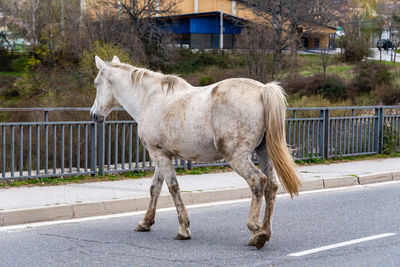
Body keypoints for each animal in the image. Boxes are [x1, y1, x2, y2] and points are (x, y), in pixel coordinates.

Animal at [90, 55, 300, 250]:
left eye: (96, 83)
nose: (94, 114)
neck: (149, 99)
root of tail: (262, 89)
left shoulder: (158, 155)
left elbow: (173, 188)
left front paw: (184, 228)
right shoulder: (162, 155)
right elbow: (155, 188)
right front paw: (146, 222)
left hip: (237, 156)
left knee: (257, 181)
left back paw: (256, 232)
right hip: (263, 152)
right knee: (271, 186)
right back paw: (266, 231)